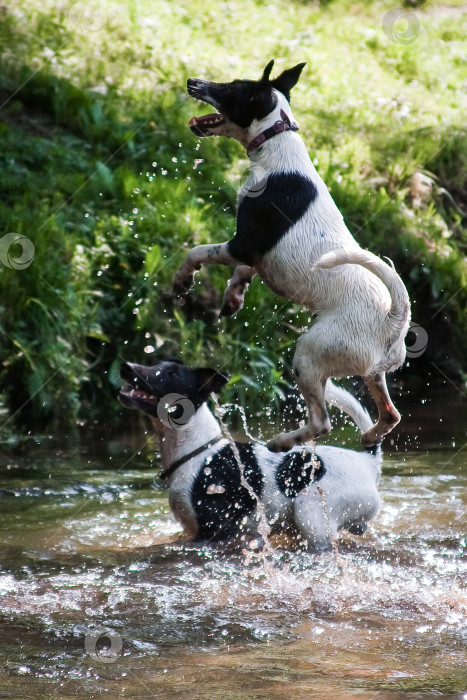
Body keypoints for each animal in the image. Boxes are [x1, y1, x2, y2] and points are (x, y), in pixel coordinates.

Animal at [119, 358, 382, 548]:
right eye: (155, 363)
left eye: (172, 374)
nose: (126, 366)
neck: (196, 450)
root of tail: (368, 461)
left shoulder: (214, 530)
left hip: (310, 513)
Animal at [174, 60, 412, 454]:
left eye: (230, 88)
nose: (193, 81)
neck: (276, 145)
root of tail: (394, 318)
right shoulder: (255, 252)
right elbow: (243, 271)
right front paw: (233, 297)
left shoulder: (242, 242)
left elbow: (197, 252)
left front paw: (182, 280)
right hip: (371, 372)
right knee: (390, 415)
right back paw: (368, 436)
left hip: (309, 355)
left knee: (322, 422)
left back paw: (282, 442)